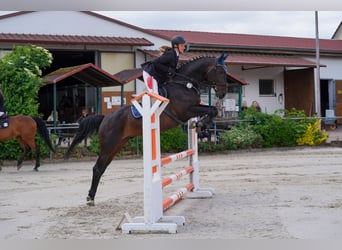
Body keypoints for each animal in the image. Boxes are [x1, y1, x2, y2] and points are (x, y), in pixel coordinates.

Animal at [64, 53, 230, 205]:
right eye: (220, 72)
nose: (223, 93)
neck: (184, 84)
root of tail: (105, 118)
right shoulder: (186, 111)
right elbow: (213, 109)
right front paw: (201, 125)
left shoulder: (192, 110)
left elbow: (211, 110)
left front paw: (201, 126)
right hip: (109, 145)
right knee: (97, 168)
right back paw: (90, 198)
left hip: (117, 145)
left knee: (102, 167)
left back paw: (91, 196)